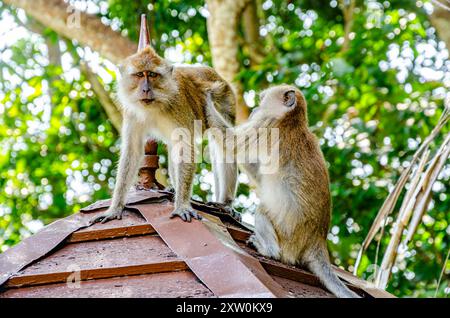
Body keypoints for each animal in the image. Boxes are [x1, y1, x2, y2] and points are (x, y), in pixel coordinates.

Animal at [92, 14, 239, 224]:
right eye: (140, 75)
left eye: (152, 75)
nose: (146, 89)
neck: (154, 105)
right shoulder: (132, 113)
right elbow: (132, 151)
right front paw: (115, 208)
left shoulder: (178, 107)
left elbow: (186, 147)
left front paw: (182, 205)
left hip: (227, 99)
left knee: (224, 141)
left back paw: (225, 204)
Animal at [207, 84, 358, 298]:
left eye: (262, 100)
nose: (254, 109)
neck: (293, 120)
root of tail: (317, 241)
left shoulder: (265, 126)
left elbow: (231, 144)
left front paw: (207, 100)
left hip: (288, 239)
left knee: (262, 212)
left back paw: (269, 251)